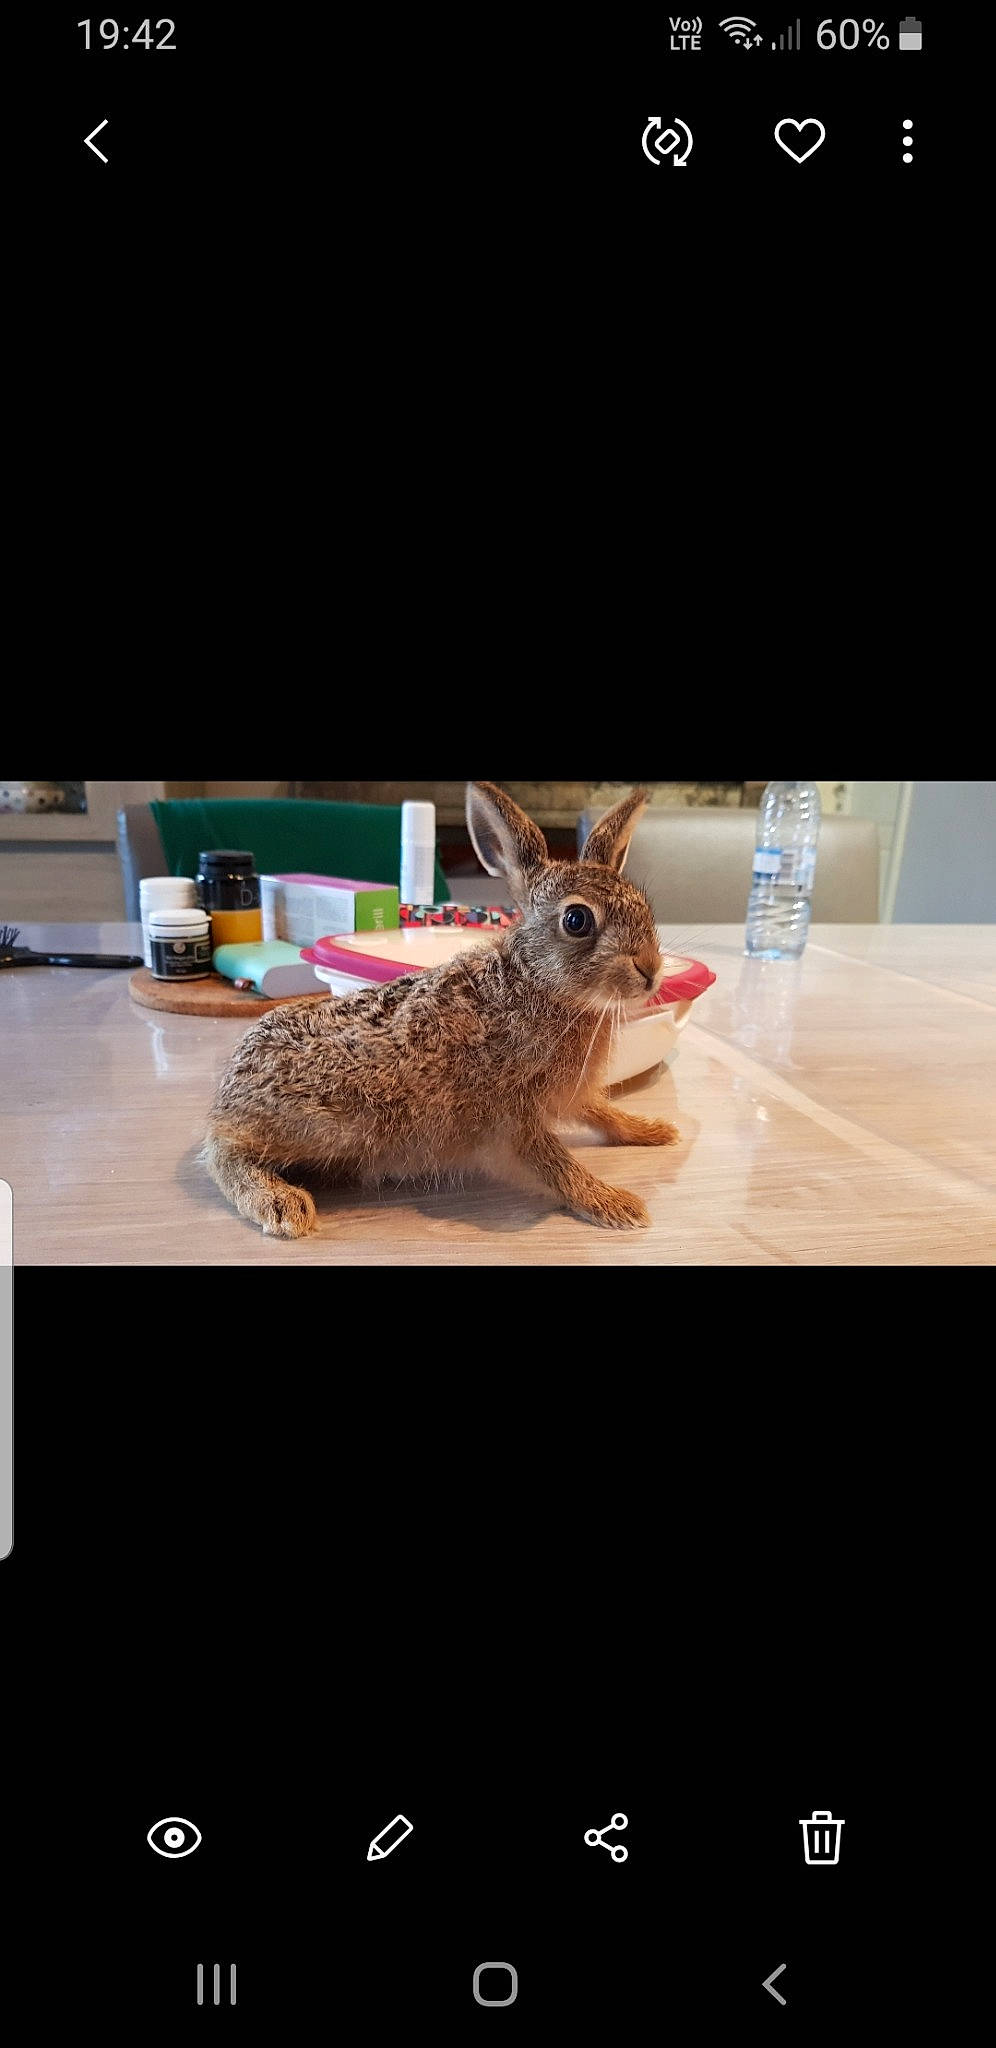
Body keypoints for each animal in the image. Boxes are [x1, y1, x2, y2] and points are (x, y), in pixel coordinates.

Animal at [201, 782, 680, 1236]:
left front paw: (654, 1130)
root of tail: (226, 1091)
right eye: (577, 920)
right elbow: (554, 1162)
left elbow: (602, 1112)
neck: (534, 983)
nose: (651, 971)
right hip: (322, 1124)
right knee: (221, 1152)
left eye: (644, 907)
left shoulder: (571, 1093)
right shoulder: (511, 1116)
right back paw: (282, 1204)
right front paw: (615, 1204)